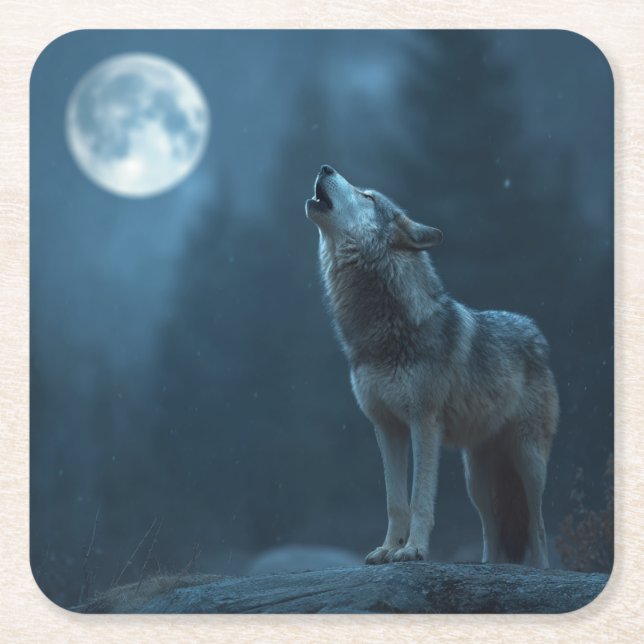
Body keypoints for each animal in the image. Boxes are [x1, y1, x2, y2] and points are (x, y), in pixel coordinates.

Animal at [305, 165, 558, 568]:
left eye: (367, 196)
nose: (325, 167)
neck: (384, 331)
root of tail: (535, 333)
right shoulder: (386, 427)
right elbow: (395, 502)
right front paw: (388, 549)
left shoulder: (424, 423)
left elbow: (419, 498)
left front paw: (413, 550)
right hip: (477, 479)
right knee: (492, 529)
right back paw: (489, 566)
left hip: (528, 462)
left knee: (539, 526)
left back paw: (540, 569)